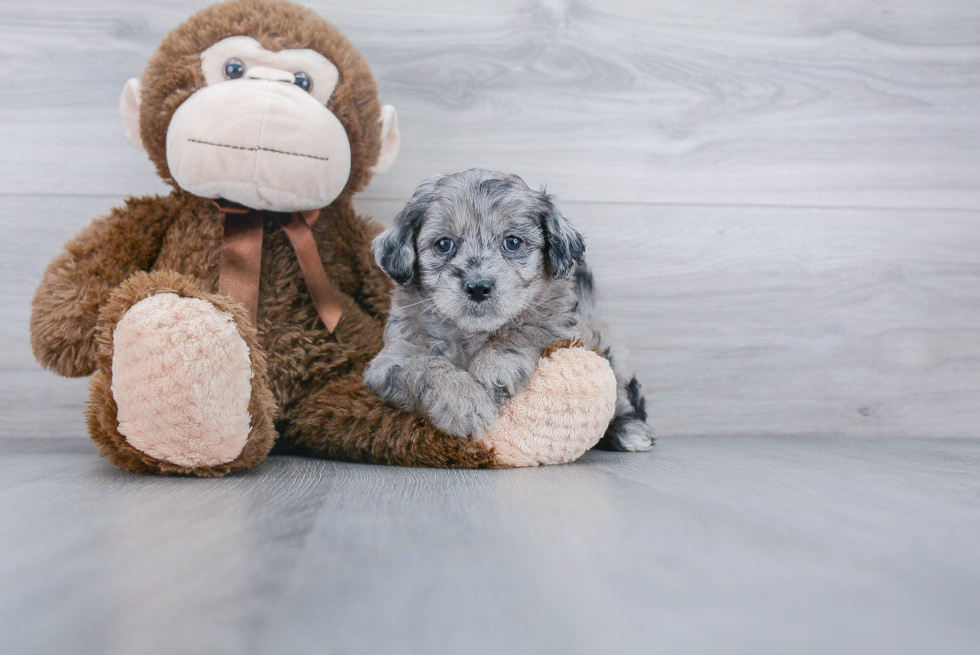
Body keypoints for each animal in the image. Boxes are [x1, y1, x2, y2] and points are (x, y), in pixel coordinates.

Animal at [364, 169, 656, 454]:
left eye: (513, 242)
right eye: (444, 244)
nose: (478, 287)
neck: (473, 334)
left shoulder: (561, 328)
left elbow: (530, 327)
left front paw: (498, 364)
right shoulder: (389, 362)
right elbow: (424, 367)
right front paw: (464, 403)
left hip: (611, 360)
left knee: (623, 401)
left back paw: (630, 432)